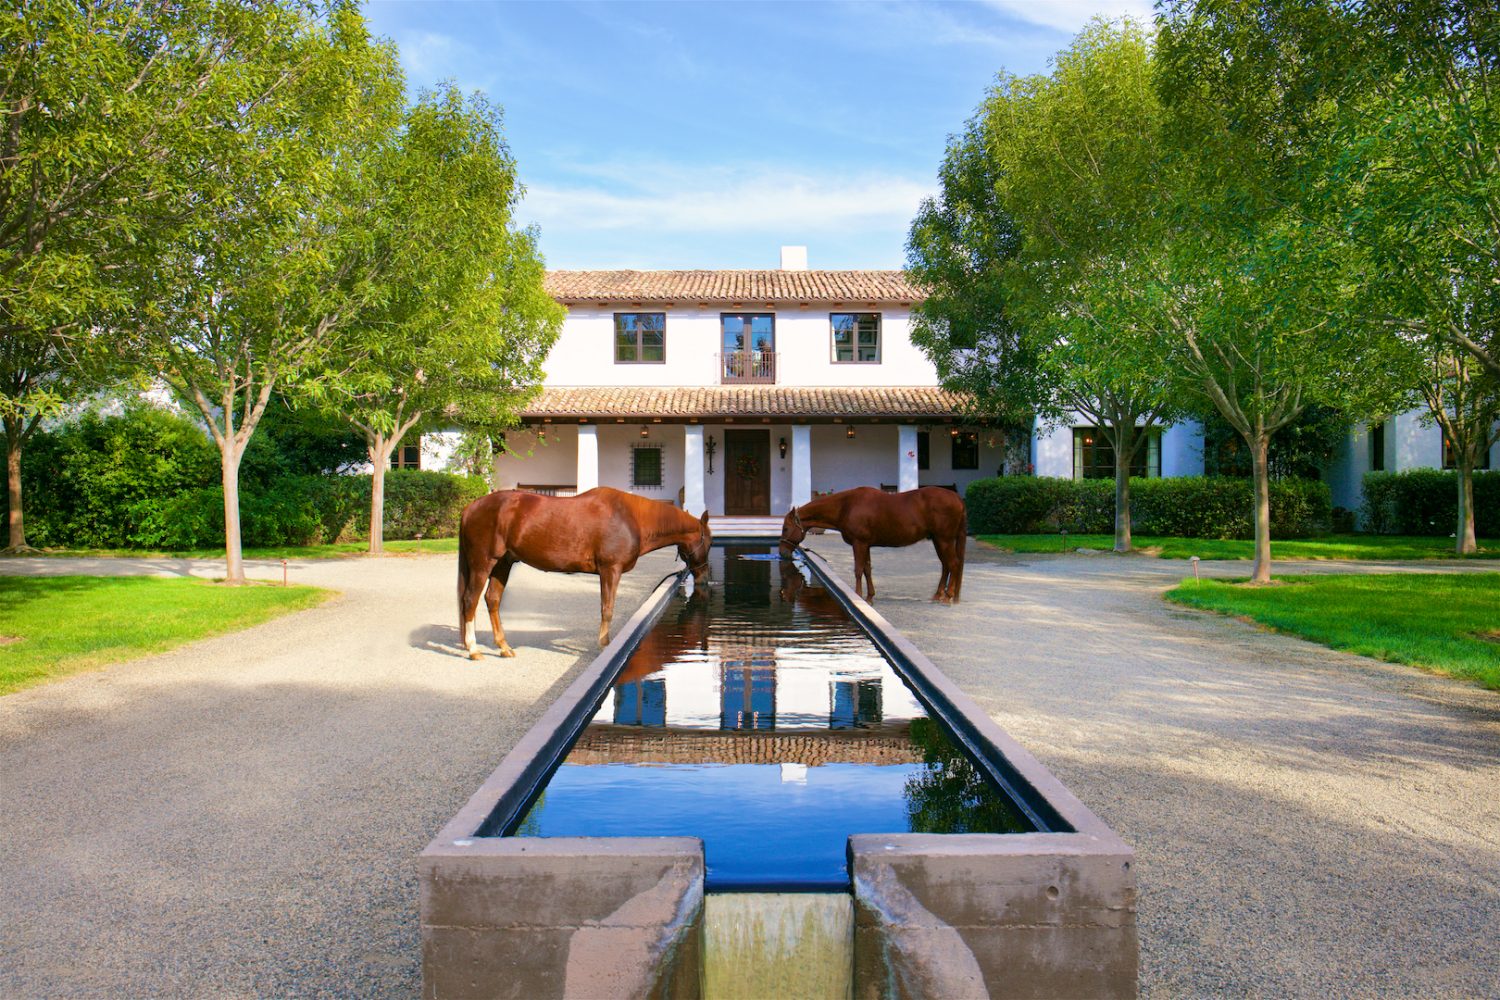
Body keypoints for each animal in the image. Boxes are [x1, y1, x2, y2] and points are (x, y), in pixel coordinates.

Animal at [456, 488, 714, 659]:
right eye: (709, 542)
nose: (704, 580)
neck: (631, 518)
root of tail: (470, 508)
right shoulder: (611, 570)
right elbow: (607, 609)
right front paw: (604, 645)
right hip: (483, 563)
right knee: (470, 600)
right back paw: (473, 649)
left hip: (503, 563)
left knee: (492, 599)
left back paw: (504, 647)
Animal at [780, 485, 966, 602]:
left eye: (785, 528)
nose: (782, 552)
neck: (846, 506)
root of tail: (956, 497)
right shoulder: (866, 545)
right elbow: (867, 569)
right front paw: (869, 597)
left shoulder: (859, 543)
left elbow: (858, 570)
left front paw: (857, 595)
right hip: (938, 540)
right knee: (946, 566)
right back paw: (939, 595)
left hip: (944, 539)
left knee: (953, 564)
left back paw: (948, 596)